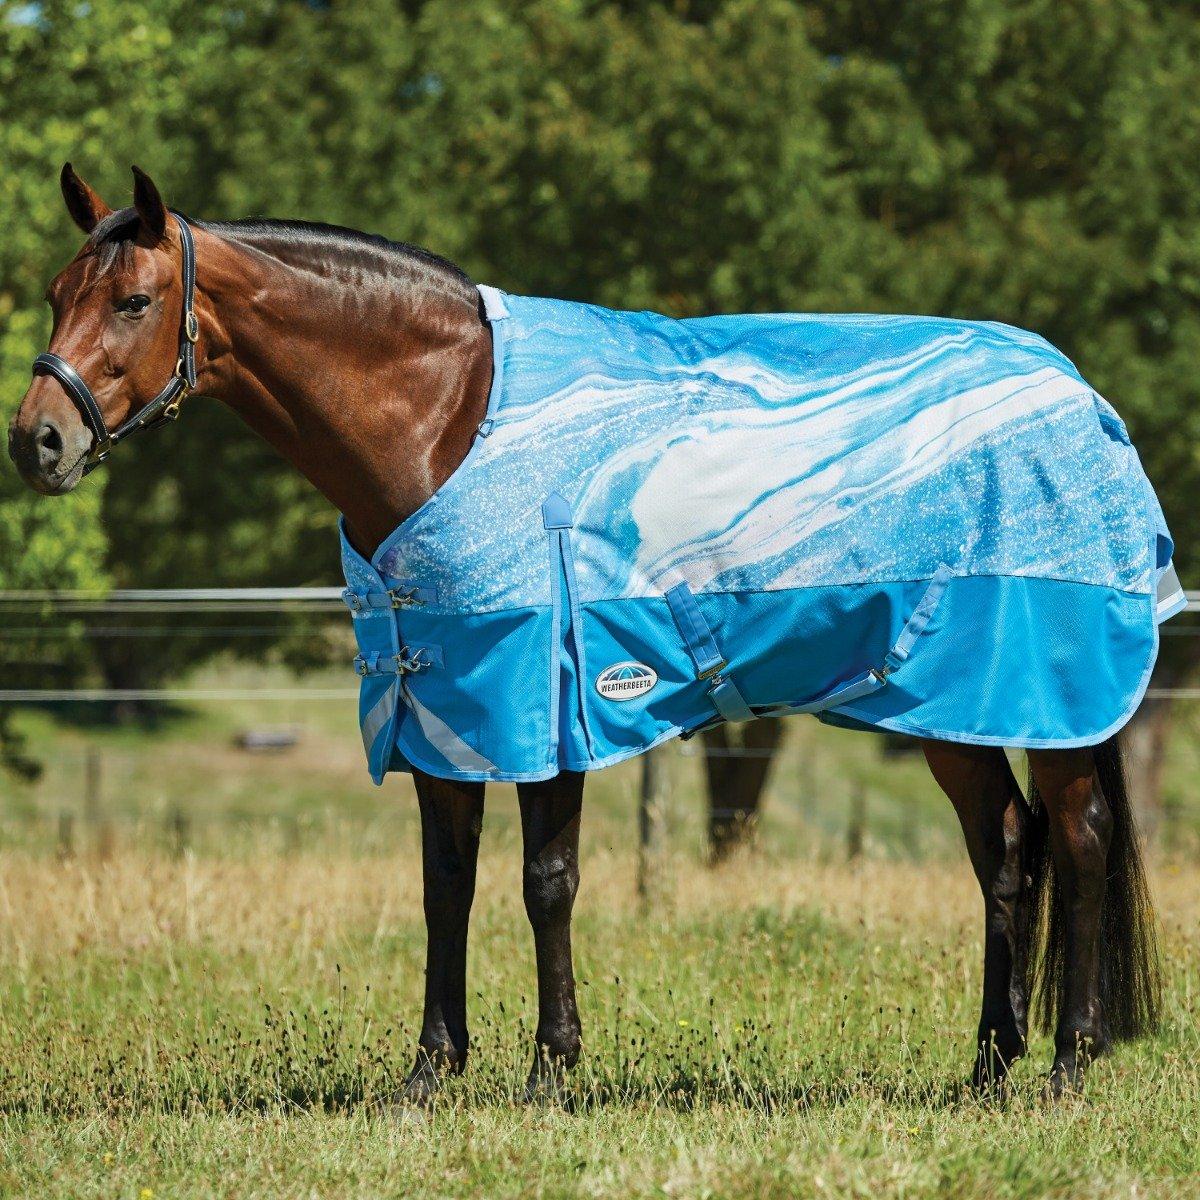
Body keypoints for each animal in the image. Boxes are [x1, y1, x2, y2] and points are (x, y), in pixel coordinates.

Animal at [8, 165, 1164, 1102]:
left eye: (136, 300)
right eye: (59, 295)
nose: (38, 441)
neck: (447, 416)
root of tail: (1082, 399)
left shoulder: (546, 700)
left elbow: (545, 884)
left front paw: (551, 1071)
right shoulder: (446, 706)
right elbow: (445, 885)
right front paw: (431, 1073)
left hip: (1042, 695)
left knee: (1077, 838)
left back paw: (1066, 1064)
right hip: (948, 706)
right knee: (1004, 853)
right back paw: (988, 1067)